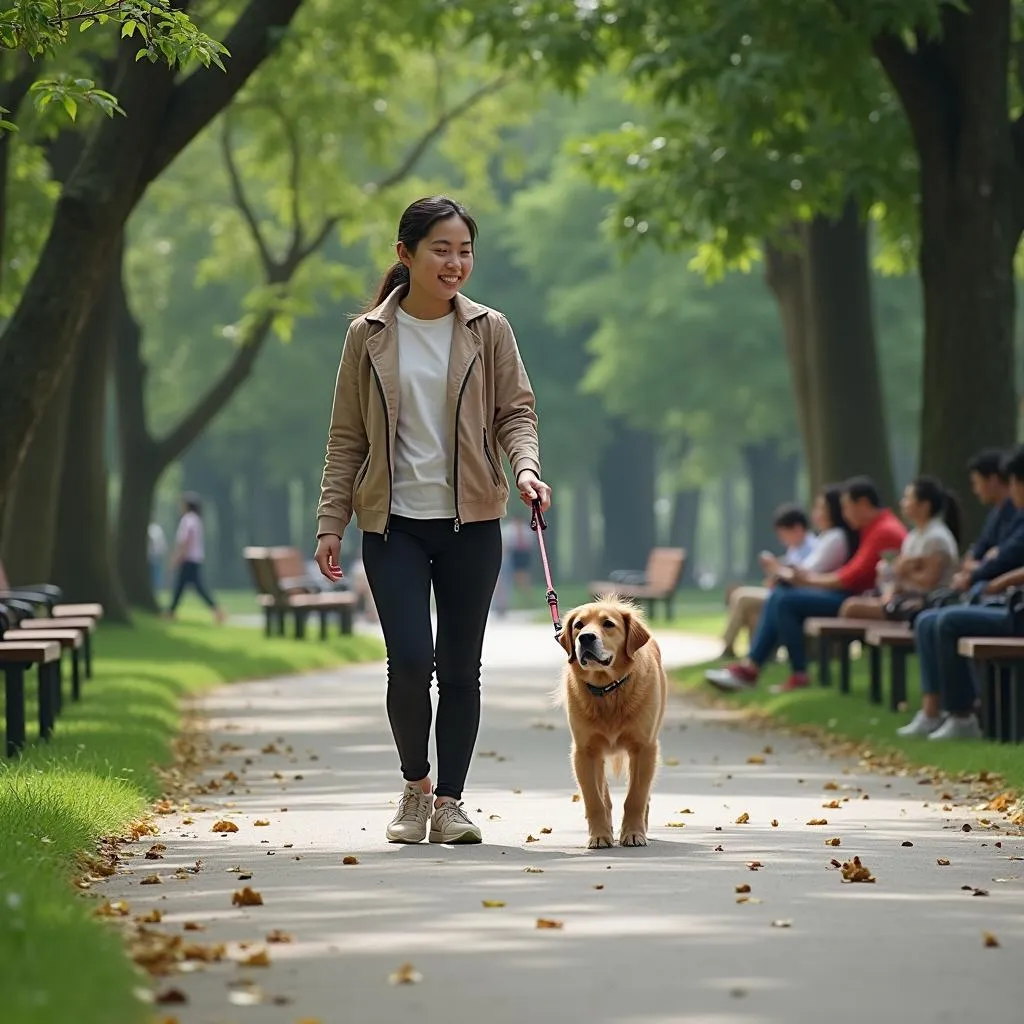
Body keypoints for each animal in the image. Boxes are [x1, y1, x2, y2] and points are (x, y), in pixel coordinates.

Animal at [557, 593, 667, 847]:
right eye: (579, 625)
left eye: (608, 624)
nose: (586, 638)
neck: (608, 689)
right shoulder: (584, 752)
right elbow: (594, 799)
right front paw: (599, 835)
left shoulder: (644, 748)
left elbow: (636, 797)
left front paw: (634, 833)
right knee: (603, 793)